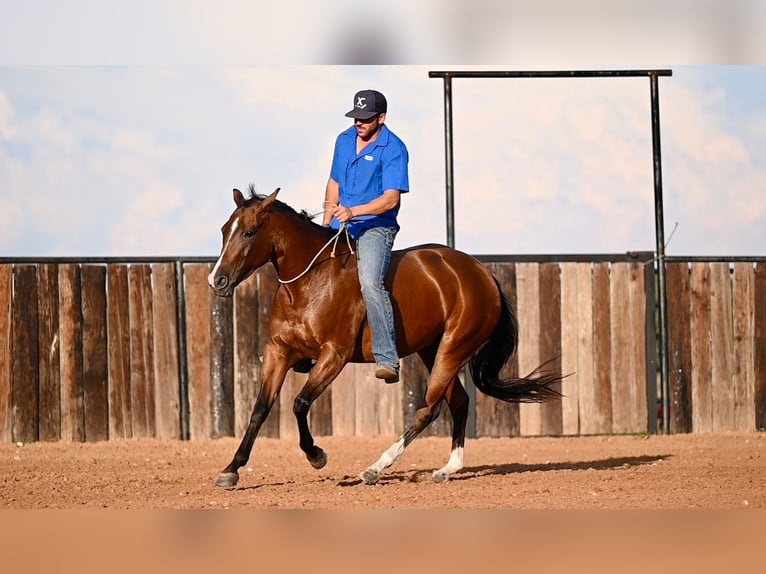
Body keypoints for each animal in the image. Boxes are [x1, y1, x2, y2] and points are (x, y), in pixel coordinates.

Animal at [210, 187, 564, 488]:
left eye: (250, 232)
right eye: (225, 229)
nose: (218, 280)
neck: (309, 282)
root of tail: (482, 274)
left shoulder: (333, 355)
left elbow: (300, 403)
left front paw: (316, 455)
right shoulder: (278, 352)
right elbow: (260, 409)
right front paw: (231, 469)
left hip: (453, 348)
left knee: (428, 408)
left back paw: (376, 467)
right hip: (433, 350)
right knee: (459, 402)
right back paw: (448, 468)